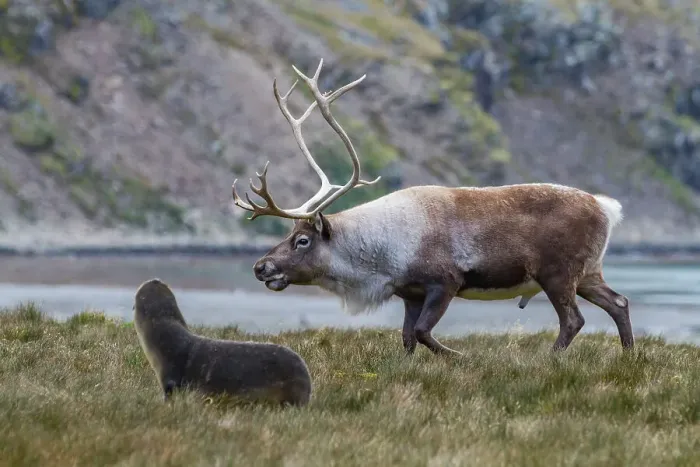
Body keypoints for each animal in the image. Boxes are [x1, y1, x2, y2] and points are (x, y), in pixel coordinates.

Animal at [231, 58, 634, 356]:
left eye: (302, 240)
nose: (260, 266)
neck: (381, 256)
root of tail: (606, 207)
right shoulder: (410, 293)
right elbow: (408, 338)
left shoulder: (445, 282)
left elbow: (424, 332)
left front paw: (462, 357)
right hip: (588, 272)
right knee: (619, 302)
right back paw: (628, 355)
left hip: (558, 274)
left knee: (574, 320)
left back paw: (549, 360)